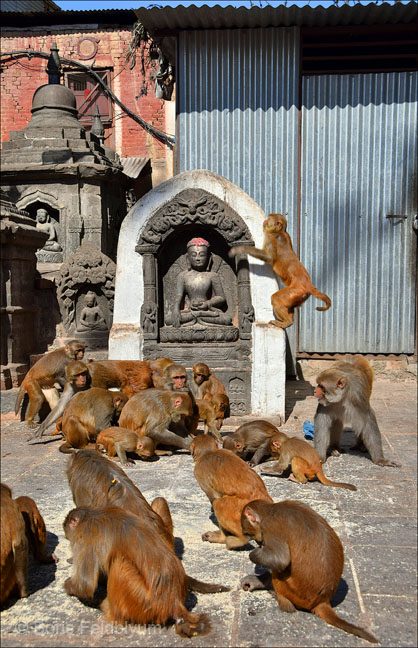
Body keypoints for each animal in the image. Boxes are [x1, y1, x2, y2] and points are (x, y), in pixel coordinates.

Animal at [63, 504, 229, 636]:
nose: (66, 535)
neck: (93, 515)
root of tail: (174, 602)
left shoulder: (84, 537)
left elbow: (85, 585)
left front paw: (68, 585)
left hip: (142, 601)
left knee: (119, 563)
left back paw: (110, 611)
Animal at [238, 498, 378, 640]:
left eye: (248, 533)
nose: (258, 542)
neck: (270, 510)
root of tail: (323, 601)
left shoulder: (270, 526)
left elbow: (280, 560)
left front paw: (254, 555)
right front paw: (257, 581)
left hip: (295, 593)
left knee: (280, 573)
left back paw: (282, 601)